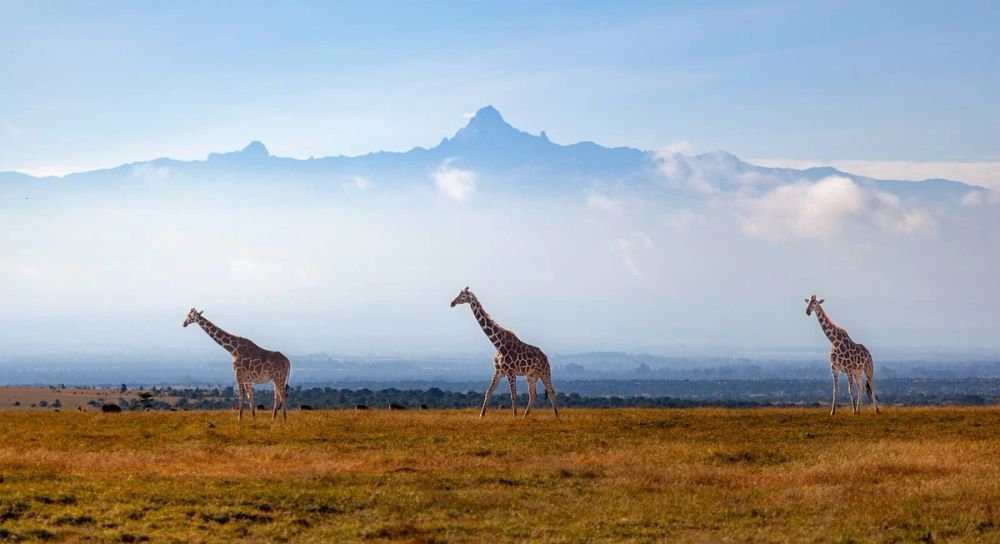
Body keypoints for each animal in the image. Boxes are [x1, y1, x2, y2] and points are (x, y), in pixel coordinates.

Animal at [450, 287, 558, 419]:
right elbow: (488, 392)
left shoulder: (510, 372)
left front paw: (514, 417)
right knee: (533, 395)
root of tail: (546, 357)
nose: (452, 303)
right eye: (458, 294)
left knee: (551, 391)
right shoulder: (499, 371)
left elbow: (513, 396)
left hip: (544, 372)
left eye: (463, 296)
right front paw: (481, 416)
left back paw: (557, 416)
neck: (497, 344)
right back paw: (525, 417)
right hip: (532, 375)